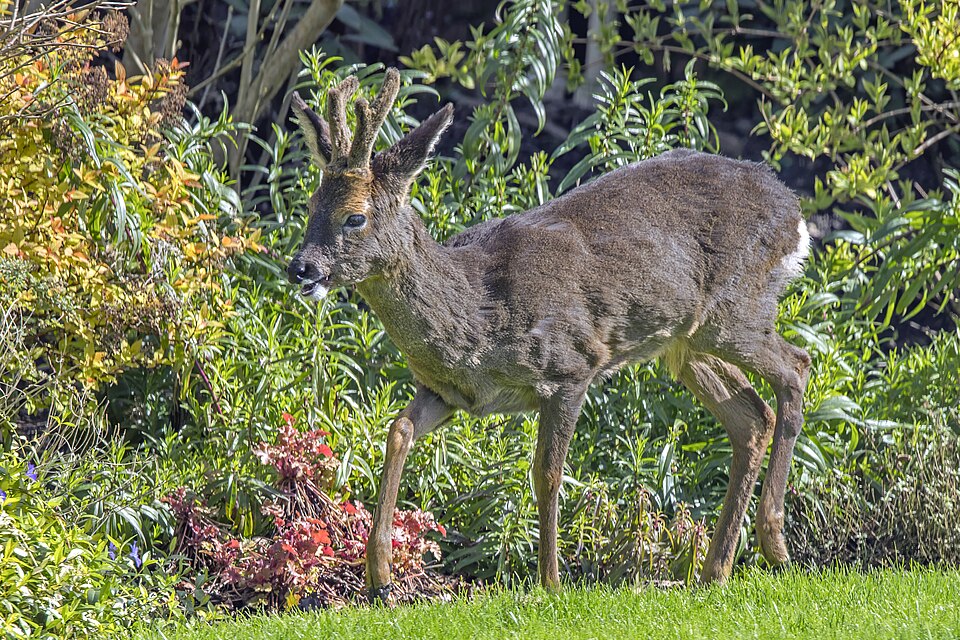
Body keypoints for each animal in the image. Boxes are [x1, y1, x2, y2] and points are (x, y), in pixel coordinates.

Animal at [287, 68, 811, 602]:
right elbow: (398, 431)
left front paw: (552, 582)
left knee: (797, 366)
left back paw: (774, 542)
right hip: (685, 343)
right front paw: (381, 576)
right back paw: (714, 572)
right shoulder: (449, 392)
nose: (300, 268)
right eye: (310, 204)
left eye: (355, 216)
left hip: (736, 311)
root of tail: (794, 212)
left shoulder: (572, 364)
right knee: (752, 417)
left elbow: (547, 472)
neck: (477, 315)